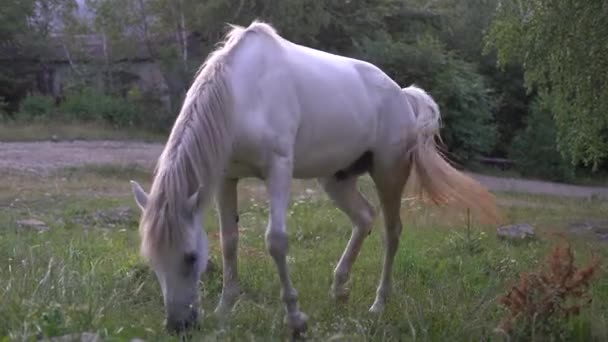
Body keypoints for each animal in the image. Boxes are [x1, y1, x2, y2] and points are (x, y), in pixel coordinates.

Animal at [128, 20, 498, 336]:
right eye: (153, 259)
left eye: (191, 257)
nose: (179, 326)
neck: (245, 93)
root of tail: (402, 95)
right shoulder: (224, 177)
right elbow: (229, 240)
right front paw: (224, 311)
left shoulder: (278, 169)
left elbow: (276, 241)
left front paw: (296, 319)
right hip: (336, 178)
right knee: (364, 217)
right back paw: (339, 289)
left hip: (389, 172)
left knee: (392, 233)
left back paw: (378, 305)